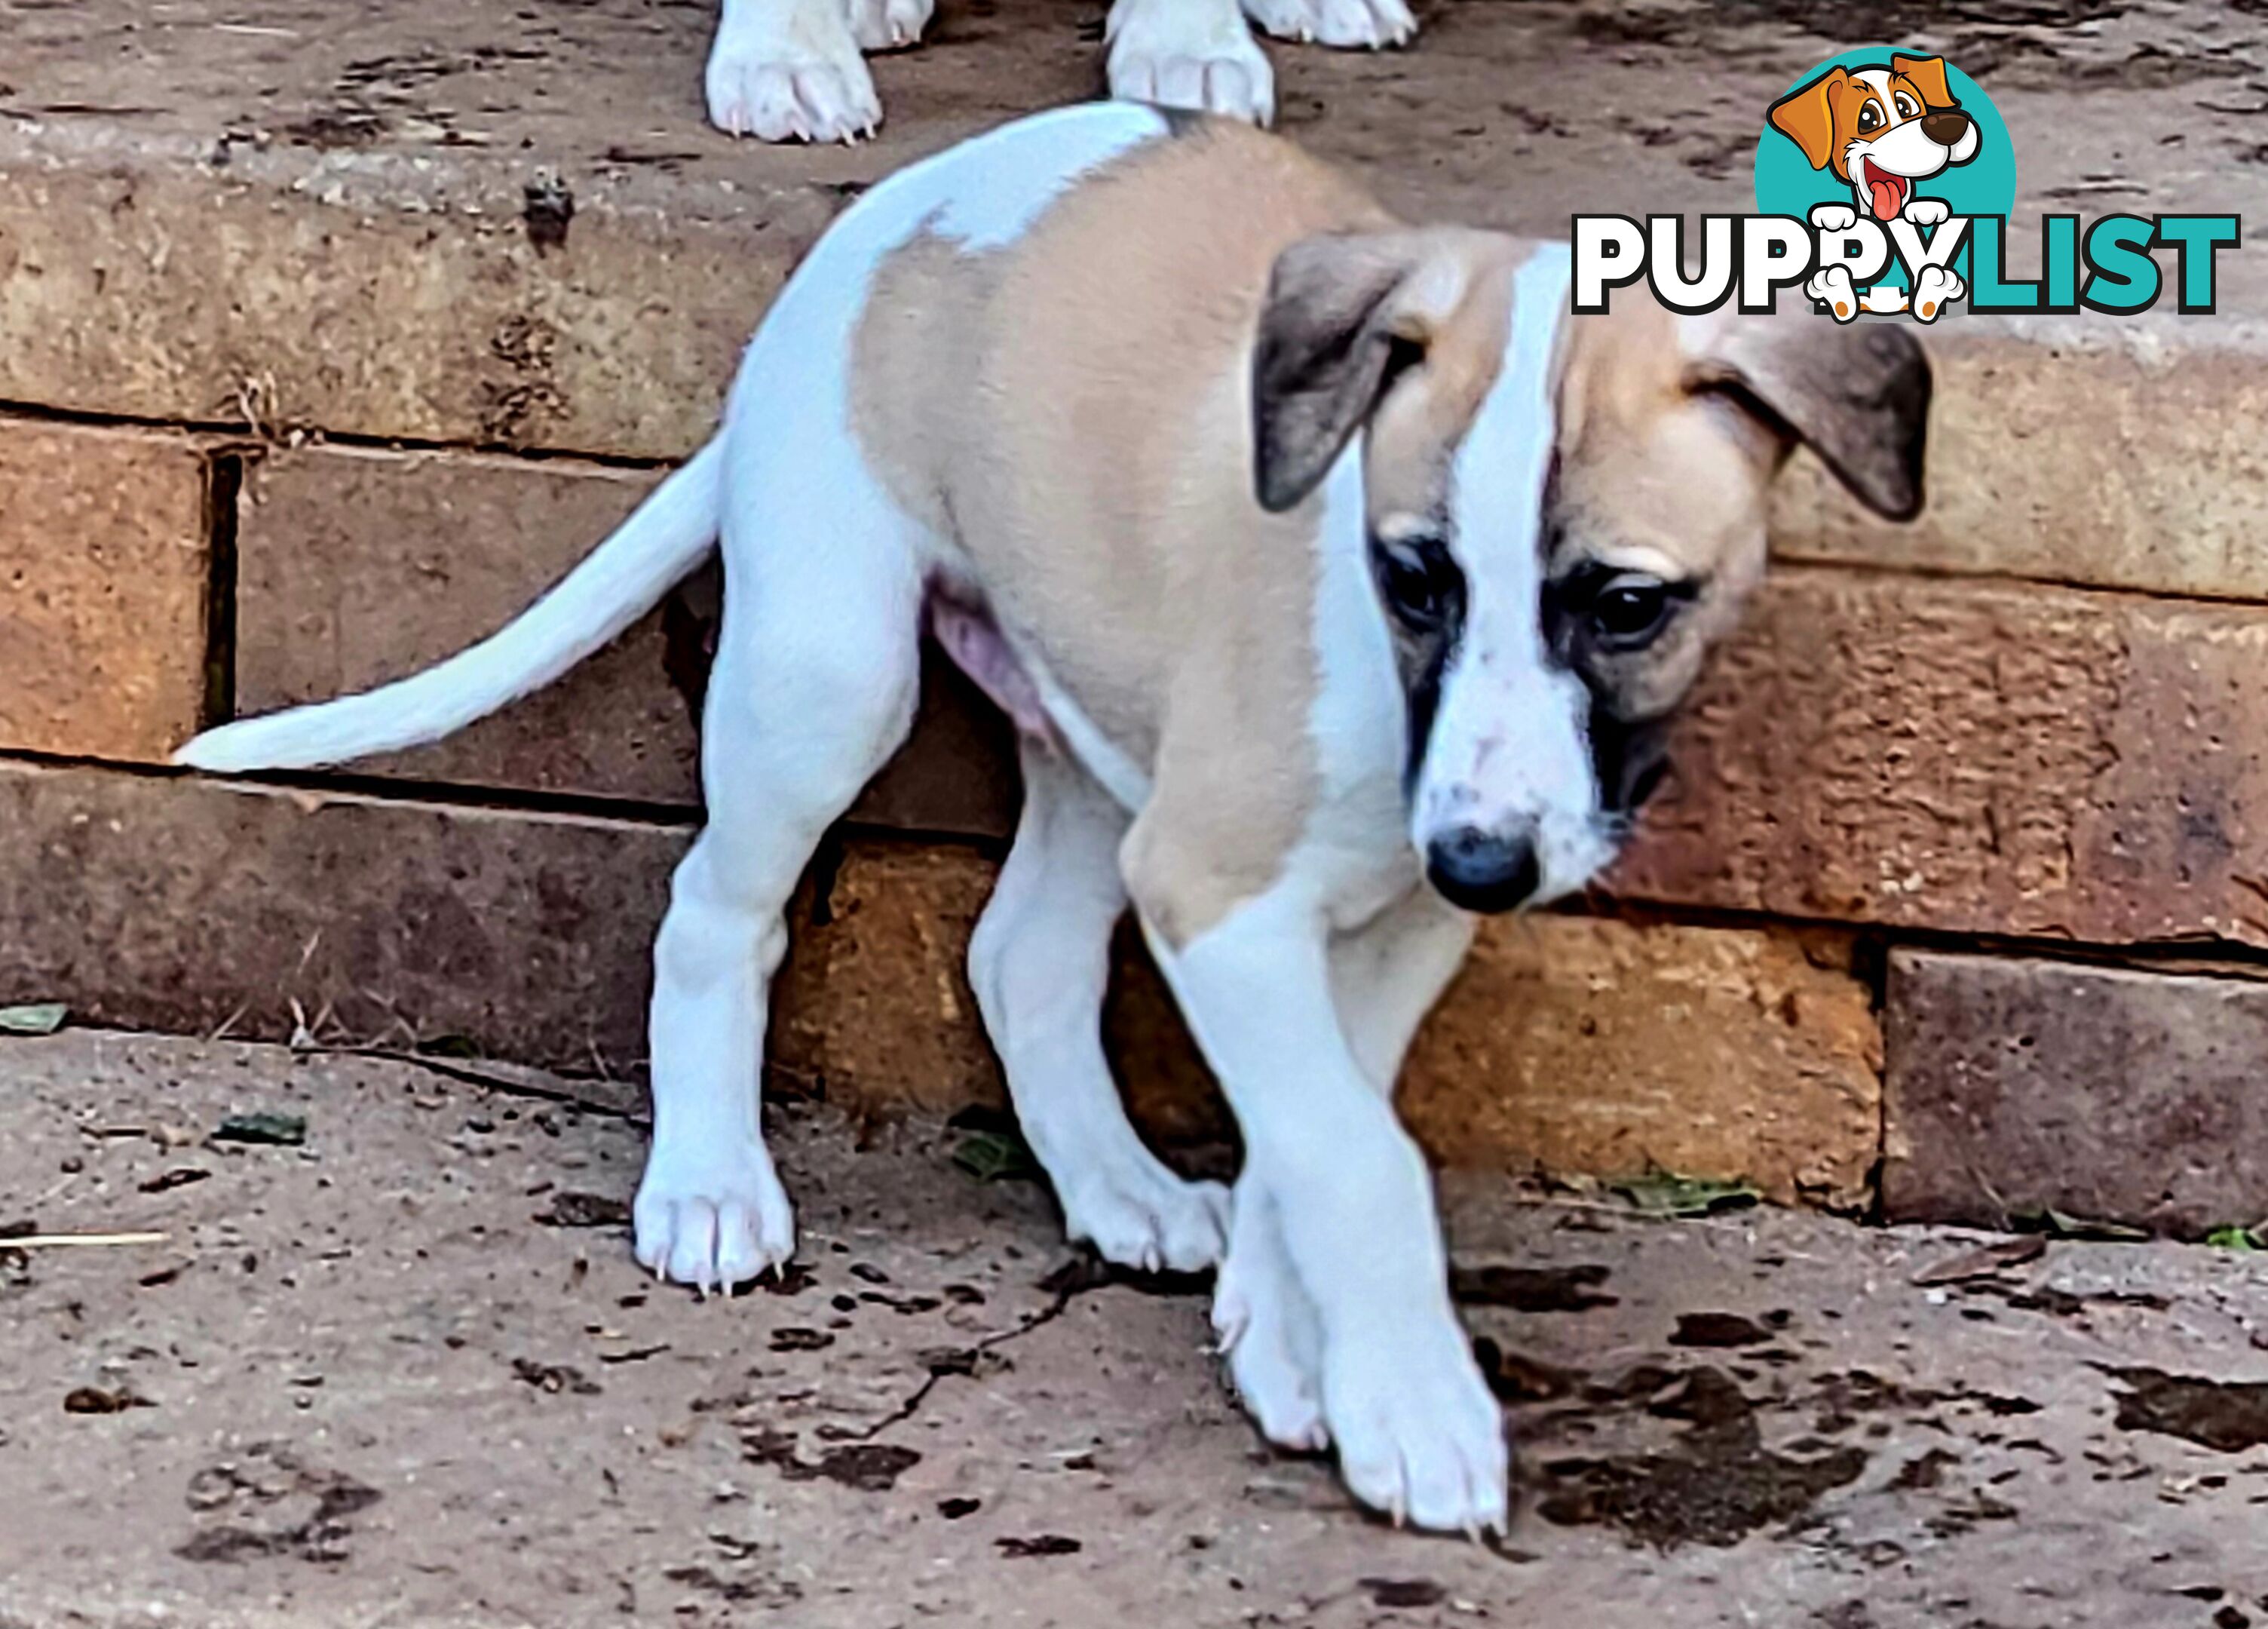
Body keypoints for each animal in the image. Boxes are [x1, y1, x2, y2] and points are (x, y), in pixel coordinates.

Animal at [172, 108, 1932, 1533]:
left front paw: (1290, 1341)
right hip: (832, 672)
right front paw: (1409, 1406)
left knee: (1021, 955)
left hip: (1087, 722)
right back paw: (709, 1186)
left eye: (1628, 606)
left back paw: (1117, 1188)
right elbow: (1356, 1155)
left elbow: (1324, 1121)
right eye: (1413, 576)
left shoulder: (1400, 908)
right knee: (713, 913)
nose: (1489, 860)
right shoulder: (1224, 889)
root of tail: (893, 212)